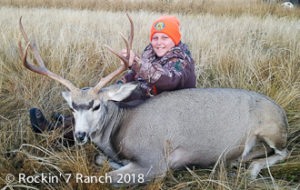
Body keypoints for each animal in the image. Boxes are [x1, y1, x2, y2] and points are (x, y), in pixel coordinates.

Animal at [19, 15, 288, 183]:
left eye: (96, 105)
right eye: (72, 107)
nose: (80, 135)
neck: (121, 125)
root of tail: (282, 112)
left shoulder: (155, 161)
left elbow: (102, 177)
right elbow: (99, 159)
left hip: (272, 131)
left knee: (284, 152)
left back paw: (251, 170)